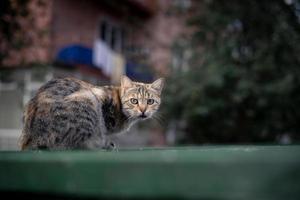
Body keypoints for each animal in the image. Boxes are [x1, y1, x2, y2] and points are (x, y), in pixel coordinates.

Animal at [19, 76, 164, 150]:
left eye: (150, 101)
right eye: (134, 101)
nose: (143, 110)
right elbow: (103, 131)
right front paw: (106, 144)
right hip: (87, 99)